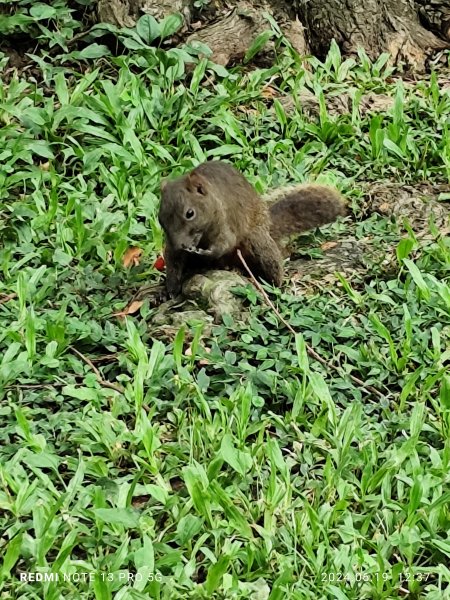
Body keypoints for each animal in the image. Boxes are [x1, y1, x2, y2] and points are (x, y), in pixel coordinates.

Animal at [157, 161, 344, 298]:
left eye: (190, 213)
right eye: (160, 218)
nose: (180, 244)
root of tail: (268, 226)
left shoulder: (227, 223)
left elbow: (224, 243)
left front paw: (207, 252)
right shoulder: (172, 249)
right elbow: (173, 265)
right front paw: (169, 291)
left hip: (258, 243)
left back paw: (270, 284)